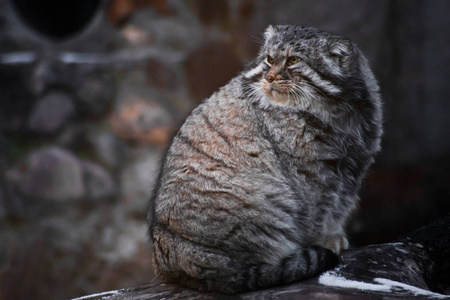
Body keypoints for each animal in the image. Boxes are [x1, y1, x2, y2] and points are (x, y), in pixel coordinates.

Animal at [149, 25, 382, 292]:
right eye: (270, 59)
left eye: (293, 60)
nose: (269, 78)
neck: (339, 115)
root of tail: (173, 263)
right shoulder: (311, 177)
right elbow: (318, 215)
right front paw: (324, 240)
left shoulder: (351, 173)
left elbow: (338, 210)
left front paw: (334, 236)